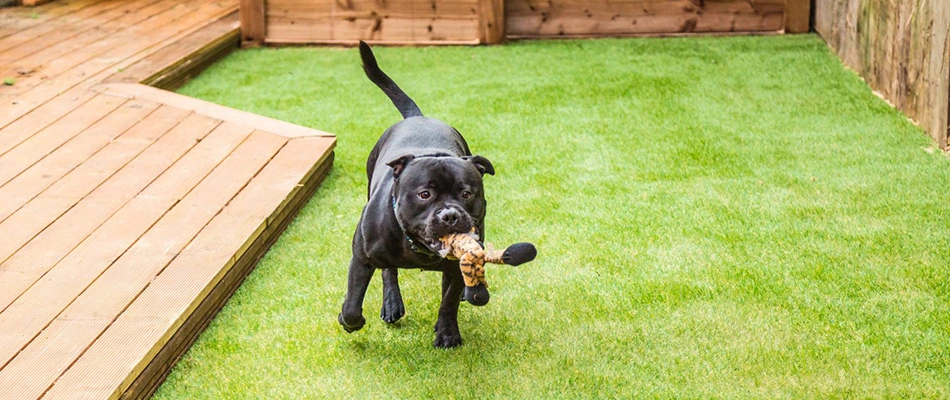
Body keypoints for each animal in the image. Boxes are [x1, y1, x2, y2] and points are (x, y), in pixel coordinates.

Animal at [336, 41, 498, 346]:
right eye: (424, 194)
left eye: (466, 193)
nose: (450, 216)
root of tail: (418, 117)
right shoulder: (360, 257)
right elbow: (352, 303)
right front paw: (349, 321)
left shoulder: (454, 267)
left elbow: (448, 301)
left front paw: (447, 333)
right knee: (388, 271)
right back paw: (391, 303)